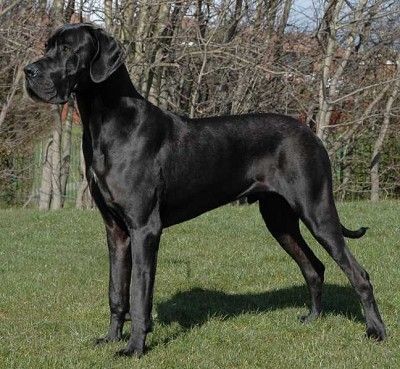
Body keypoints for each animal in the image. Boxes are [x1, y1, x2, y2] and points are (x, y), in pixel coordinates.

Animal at [23, 23, 386, 356]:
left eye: (69, 49)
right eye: (47, 46)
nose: (28, 71)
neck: (105, 121)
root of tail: (311, 133)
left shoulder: (144, 228)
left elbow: (140, 295)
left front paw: (135, 347)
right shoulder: (116, 231)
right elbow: (117, 291)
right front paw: (112, 338)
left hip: (317, 211)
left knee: (359, 273)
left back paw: (376, 331)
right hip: (279, 220)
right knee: (314, 267)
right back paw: (313, 319)